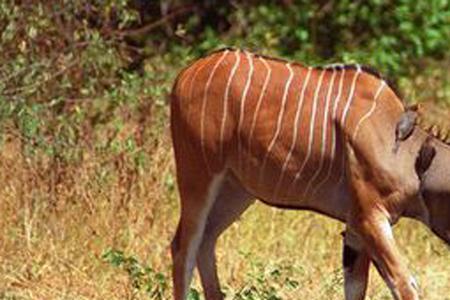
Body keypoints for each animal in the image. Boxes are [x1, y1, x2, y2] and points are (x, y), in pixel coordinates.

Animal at [170, 48, 450, 300]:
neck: (409, 154)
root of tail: (185, 75)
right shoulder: (370, 218)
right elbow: (405, 285)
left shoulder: (355, 229)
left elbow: (356, 288)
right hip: (198, 176)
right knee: (183, 248)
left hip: (235, 191)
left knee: (206, 242)